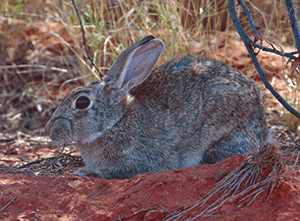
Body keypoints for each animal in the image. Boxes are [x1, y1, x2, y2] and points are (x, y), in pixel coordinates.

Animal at [46, 35, 268, 180]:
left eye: (82, 102)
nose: (51, 131)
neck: (115, 123)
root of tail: (263, 126)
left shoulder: (141, 161)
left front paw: (87, 171)